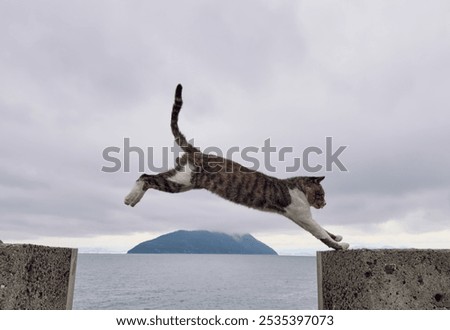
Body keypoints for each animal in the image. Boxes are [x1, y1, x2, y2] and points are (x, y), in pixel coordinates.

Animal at [125, 85, 350, 250]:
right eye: (320, 195)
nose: (324, 204)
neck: (297, 189)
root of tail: (198, 152)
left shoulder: (300, 217)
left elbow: (325, 230)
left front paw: (337, 236)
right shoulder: (301, 215)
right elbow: (320, 233)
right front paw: (340, 245)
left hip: (182, 180)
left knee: (148, 177)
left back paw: (134, 199)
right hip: (181, 181)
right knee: (145, 177)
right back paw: (131, 198)